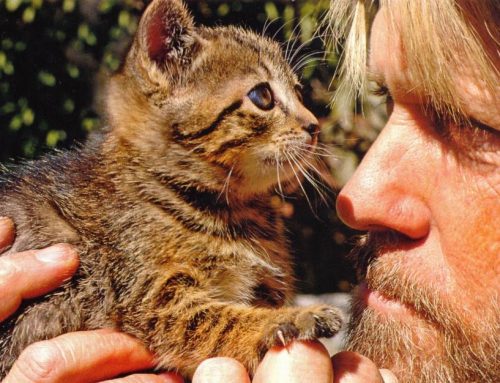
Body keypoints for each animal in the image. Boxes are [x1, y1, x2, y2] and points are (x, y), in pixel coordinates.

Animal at [0, 0, 340, 378]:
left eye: (298, 91)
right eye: (262, 96)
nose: (314, 126)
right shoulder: (154, 298)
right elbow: (221, 322)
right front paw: (289, 320)